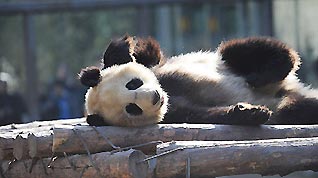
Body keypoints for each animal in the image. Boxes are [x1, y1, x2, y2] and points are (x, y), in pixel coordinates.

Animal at [79, 35, 318, 126]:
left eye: (133, 83)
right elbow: (201, 114)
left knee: (244, 52)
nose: (155, 97)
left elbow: (144, 54)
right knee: (295, 109)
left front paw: (122, 49)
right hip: (288, 104)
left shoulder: (161, 67)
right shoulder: (173, 114)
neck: (169, 91)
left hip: (226, 61)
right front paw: (249, 112)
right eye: (132, 108)